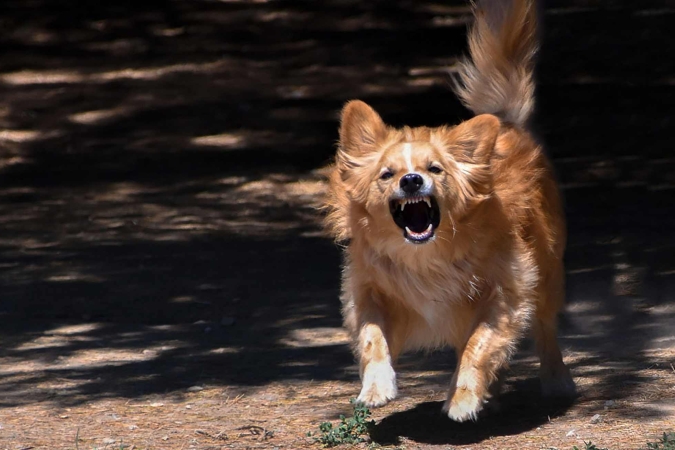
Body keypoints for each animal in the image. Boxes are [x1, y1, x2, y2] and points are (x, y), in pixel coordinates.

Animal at [322, 0, 576, 422]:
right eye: (386, 174)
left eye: (435, 170)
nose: (411, 180)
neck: (426, 256)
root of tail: (507, 122)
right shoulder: (369, 293)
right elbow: (373, 339)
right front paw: (376, 387)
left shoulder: (504, 296)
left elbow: (479, 345)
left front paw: (463, 397)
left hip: (546, 274)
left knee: (545, 330)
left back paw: (555, 381)